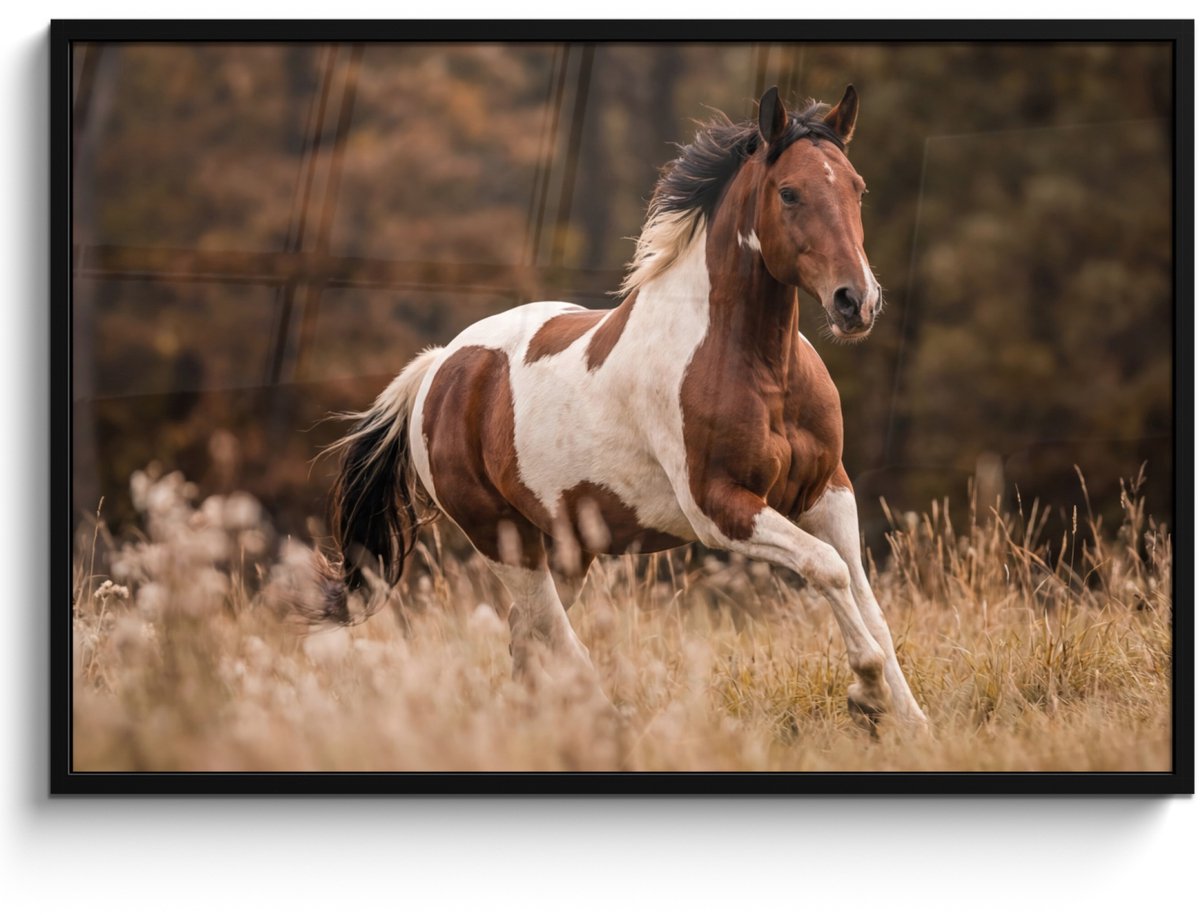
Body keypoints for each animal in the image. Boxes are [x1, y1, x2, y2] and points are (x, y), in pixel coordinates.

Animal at [318, 85, 928, 732]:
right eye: (789, 192)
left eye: (857, 188)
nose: (856, 302)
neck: (760, 367)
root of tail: (437, 368)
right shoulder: (720, 508)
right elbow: (827, 569)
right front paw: (867, 694)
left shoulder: (827, 492)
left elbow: (865, 597)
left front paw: (912, 722)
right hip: (504, 538)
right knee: (554, 639)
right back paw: (610, 722)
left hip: (567, 547)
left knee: (527, 638)